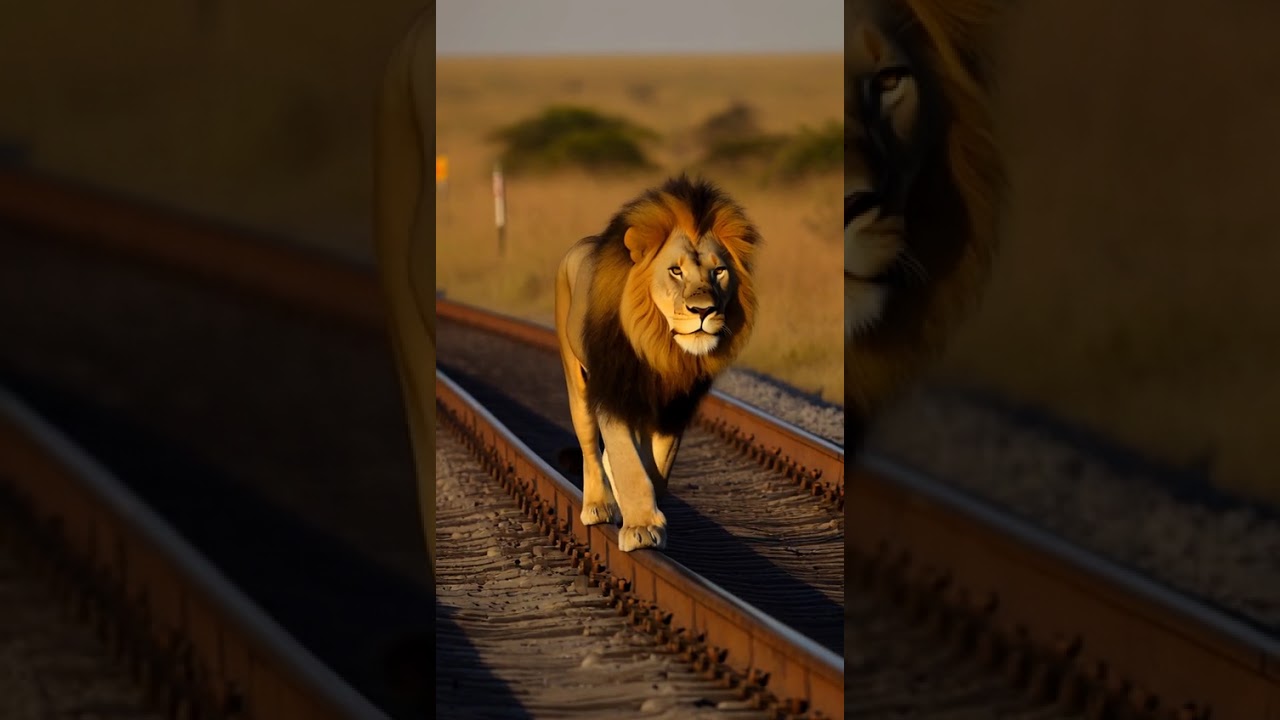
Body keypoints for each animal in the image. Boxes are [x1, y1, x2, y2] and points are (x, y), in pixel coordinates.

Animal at [555, 175, 760, 552]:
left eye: (719, 271)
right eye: (675, 271)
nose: (703, 310)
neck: (660, 345)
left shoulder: (675, 404)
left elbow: (655, 466)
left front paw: (643, 512)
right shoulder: (614, 391)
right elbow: (628, 460)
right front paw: (641, 527)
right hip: (577, 378)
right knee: (589, 447)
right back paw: (598, 505)